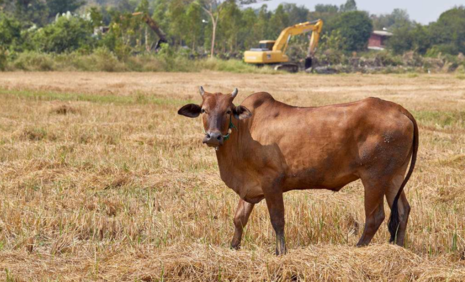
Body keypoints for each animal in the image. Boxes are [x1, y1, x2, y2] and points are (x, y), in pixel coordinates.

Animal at [177, 88, 416, 256]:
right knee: (402, 211)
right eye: (203, 110)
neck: (246, 131)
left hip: (374, 178)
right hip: (394, 177)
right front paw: (233, 246)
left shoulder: (271, 182)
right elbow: (239, 219)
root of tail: (400, 109)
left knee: (375, 216)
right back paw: (400, 249)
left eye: (228, 110)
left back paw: (358, 248)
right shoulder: (251, 187)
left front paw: (280, 252)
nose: (213, 136)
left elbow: (277, 219)